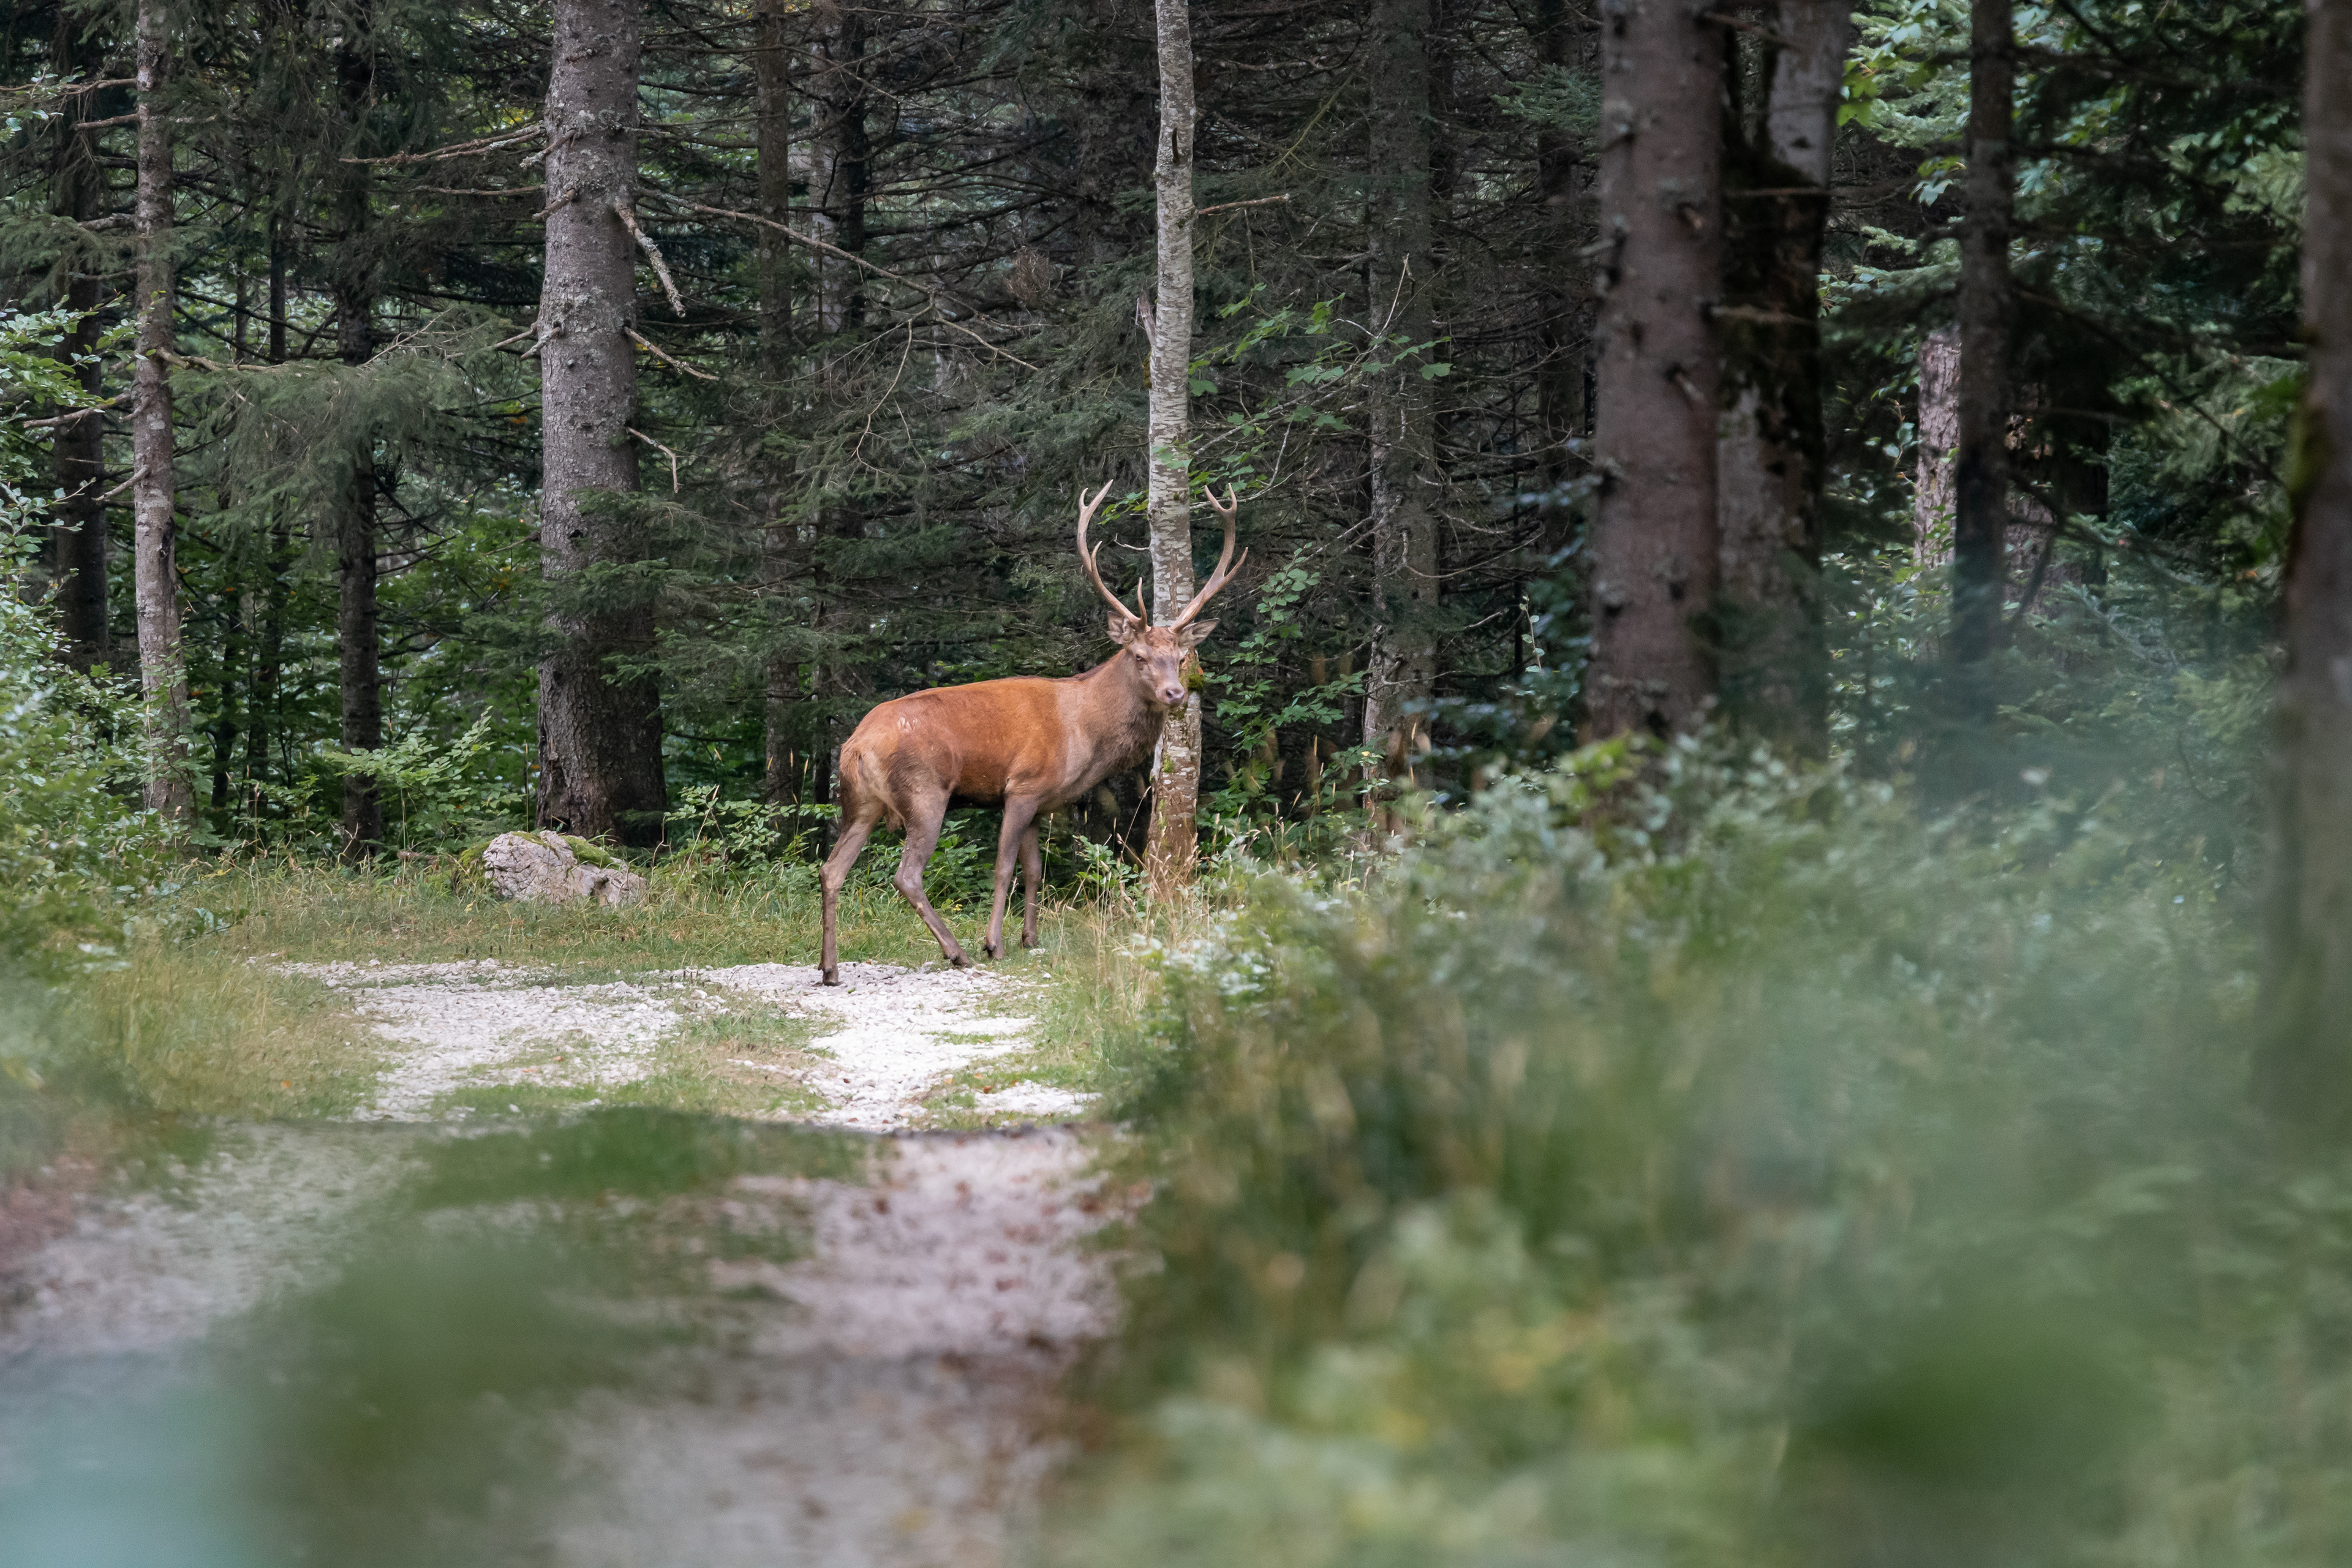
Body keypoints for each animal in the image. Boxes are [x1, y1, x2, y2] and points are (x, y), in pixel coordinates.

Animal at [817, 481, 1246, 984]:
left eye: (1180, 658)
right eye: (1139, 656)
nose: (1176, 693)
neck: (1084, 732)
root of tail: (855, 745)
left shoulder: (1044, 801)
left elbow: (1036, 870)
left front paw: (1031, 939)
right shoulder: (1021, 787)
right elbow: (1005, 869)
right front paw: (994, 945)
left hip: (859, 803)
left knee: (831, 869)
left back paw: (829, 968)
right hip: (924, 792)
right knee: (907, 874)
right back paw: (956, 952)